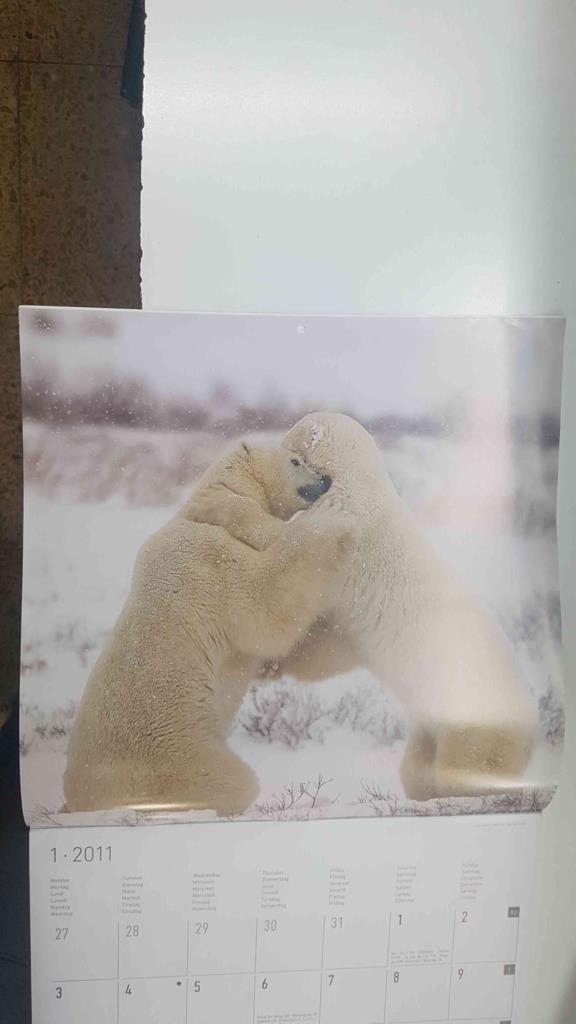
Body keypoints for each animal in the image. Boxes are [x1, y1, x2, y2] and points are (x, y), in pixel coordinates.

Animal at [63, 440, 352, 816]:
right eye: (295, 460)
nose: (326, 478)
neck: (200, 513)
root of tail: (81, 796)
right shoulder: (210, 561)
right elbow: (265, 607)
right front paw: (335, 526)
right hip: (177, 759)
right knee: (232, 780)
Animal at [270, 411, 539, 802]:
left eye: (290, 440)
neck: (359, 483)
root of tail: (533, 731)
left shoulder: (343, 533)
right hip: (429, 725)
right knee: (417, 764)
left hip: (475, 716)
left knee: (466, 762)